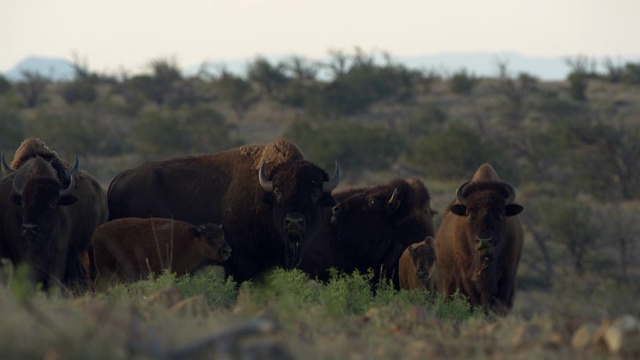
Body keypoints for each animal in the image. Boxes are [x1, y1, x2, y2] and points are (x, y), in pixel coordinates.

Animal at [92, 218, 232, 288]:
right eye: (209, 237)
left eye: (223, 235)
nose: (227, 250)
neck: (191, 240)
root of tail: (97, 231)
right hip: (106, 271)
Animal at [107, 138, 340, 284]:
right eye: (278, 192)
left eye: (315, 194)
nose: (293, 222)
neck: (264, 200)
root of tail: (119, 178)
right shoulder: (240, 265)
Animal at [430, 163, 524, 316]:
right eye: (469, 213)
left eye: (501, 213)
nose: (484, 241)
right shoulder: (465, 276)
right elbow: (474, 301)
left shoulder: (507, 274)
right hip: (448, 280)